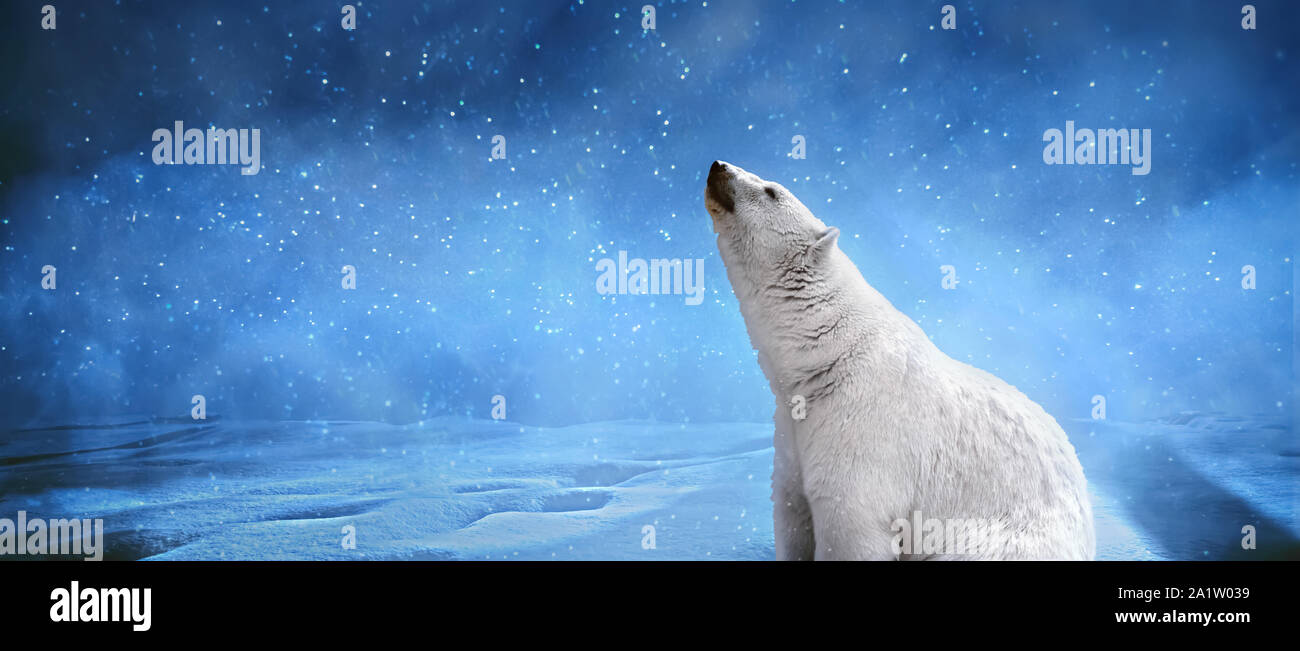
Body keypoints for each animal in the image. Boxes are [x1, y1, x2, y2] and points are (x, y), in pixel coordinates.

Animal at [704, 160, 1095, 560]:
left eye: (771, 191)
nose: (718, 166)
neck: (827, 354)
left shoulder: (863, 426)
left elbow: (849, 526)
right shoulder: (792, 429)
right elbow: (791, 512)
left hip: (1001, 540)